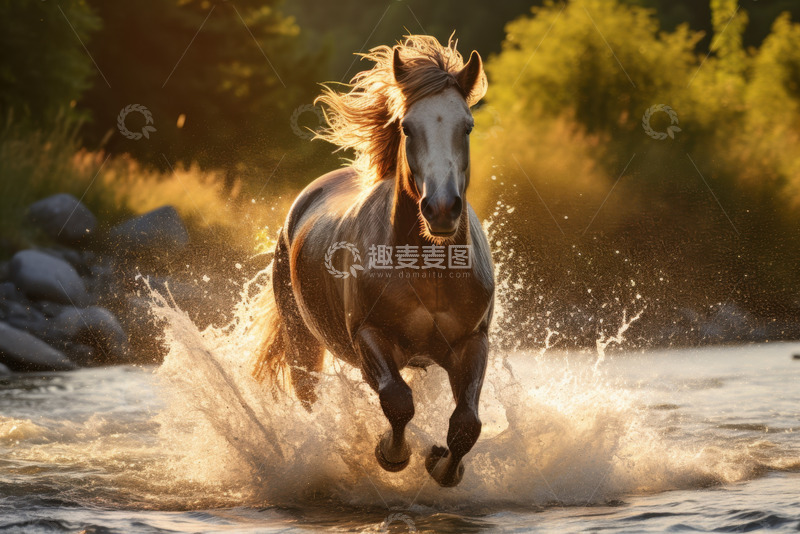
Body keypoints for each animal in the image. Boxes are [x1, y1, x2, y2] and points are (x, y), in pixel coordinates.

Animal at [253, 35, 494, 488]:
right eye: (407, 127)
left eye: (467, 126)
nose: (441, 209)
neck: (428, 268)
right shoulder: (369, 336)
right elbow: (397, 401)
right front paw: (392, 454)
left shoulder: (472, 342)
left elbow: (466, 424)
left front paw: (442, 465)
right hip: (302, 343)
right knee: (309, 398)